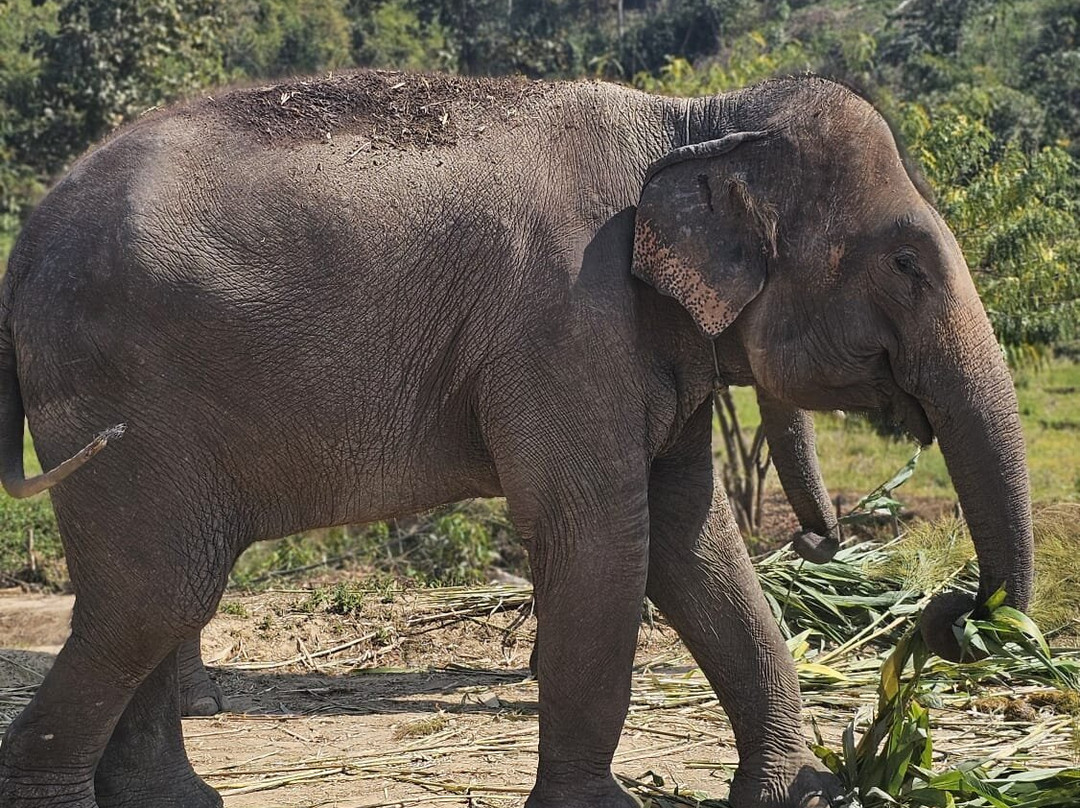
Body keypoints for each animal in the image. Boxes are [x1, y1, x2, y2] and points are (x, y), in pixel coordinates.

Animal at [0, 70, 1033, 808]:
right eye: (906, 262)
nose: (955, 616)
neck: (688, 122)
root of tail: (21, 247)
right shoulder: (567, 320)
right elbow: (602, 536)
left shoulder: (643, 338)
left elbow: (692, 541)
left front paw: (807, 792)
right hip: (122, 399)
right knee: (160, 592)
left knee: (151, 594)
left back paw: (173, 801)